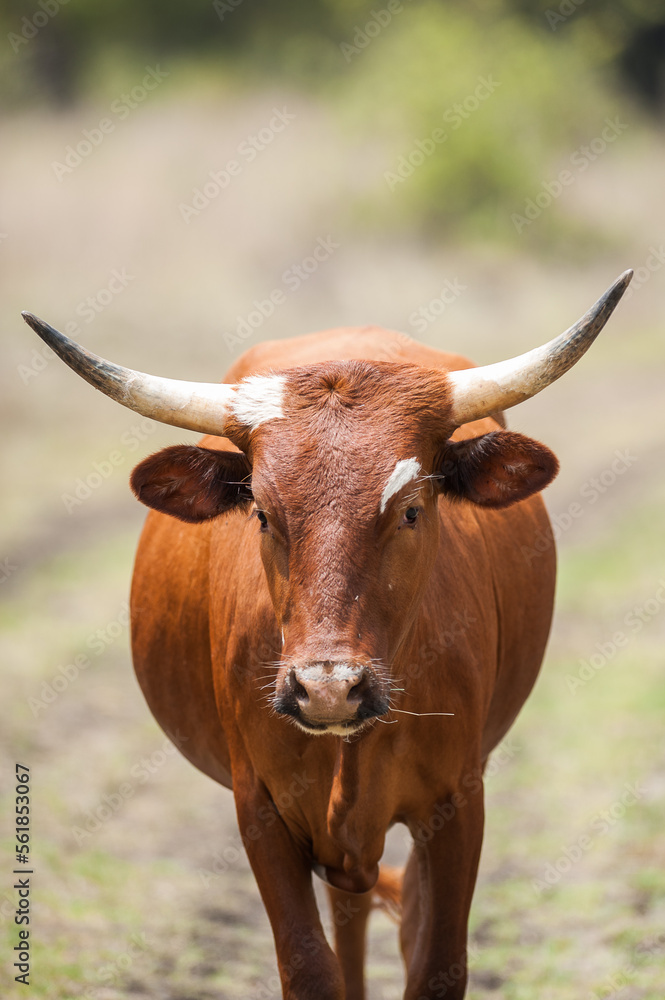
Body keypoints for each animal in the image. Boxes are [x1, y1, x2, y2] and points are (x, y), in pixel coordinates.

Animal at [23, 269, 631, 1000]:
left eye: (411, 509)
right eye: (260, 511)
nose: (328, 689)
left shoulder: (458, 801)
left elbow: (435, 964)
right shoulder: (259, 808)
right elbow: (311, 968)